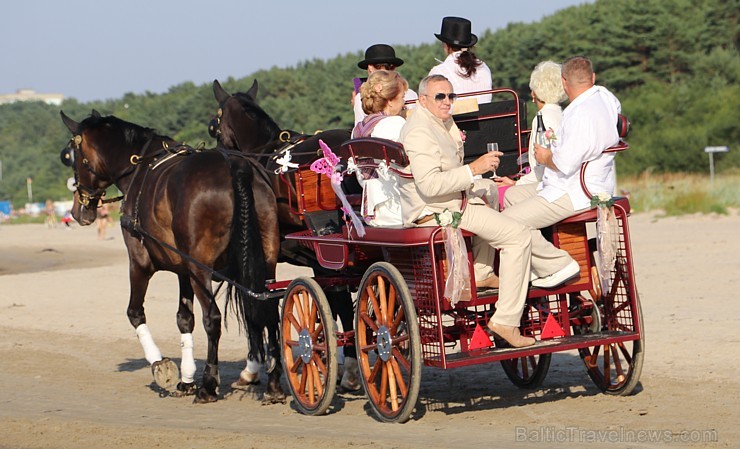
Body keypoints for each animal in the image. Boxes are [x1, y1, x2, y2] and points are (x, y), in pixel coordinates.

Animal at [59, 109, 286, 402]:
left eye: (72, 156)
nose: (78, 210)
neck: (139, 166)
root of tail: (234, 164)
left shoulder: (140, 263)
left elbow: (135, 313)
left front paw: (160, 365)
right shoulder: (183, 270)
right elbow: (184, 319)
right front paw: (187, 378)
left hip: (202, 270)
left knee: (213, 318)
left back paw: (208, 385)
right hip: (264, 262)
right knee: (268, 311)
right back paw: (273, 384)